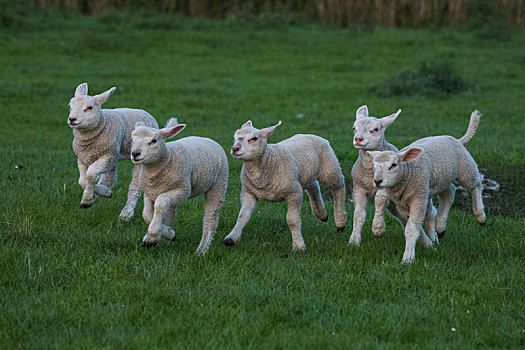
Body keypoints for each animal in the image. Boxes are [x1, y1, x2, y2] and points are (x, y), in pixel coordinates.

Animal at [67, 82, 158, 220]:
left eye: (89, 108)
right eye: (70, 107)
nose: (72, 119)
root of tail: (147, 114)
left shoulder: (107, 156)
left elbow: (90, 175)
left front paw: (88, 198)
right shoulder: (82, 158)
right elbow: (82, 181)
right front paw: (92, 197)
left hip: (135, 157)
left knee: (134, 187)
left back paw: (126, 214)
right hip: (114, 155)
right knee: (109, 179)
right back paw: (101, 194)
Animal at [130, 119, 226, 253]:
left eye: (153, 141)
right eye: (132, 139)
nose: (135, 153)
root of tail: (206, 138)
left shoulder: (183, 190)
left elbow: (160, 204)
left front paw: (153, 235)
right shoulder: (149, 191)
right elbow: (147, 215)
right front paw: (163, 234)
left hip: (219, 183)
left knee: (210, 218)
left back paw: (202, 250)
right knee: (170, 214)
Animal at [223, 119, 346, 249]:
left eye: (254, 138)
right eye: (235, 137)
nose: (235, 148)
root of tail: (311, 135)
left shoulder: (294, 193)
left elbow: (292, 221)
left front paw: (298, 245)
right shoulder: (248, 193)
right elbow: (242, 216)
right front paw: (231, 238)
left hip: (330, 168)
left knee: (339, 187)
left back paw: (340, 221)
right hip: (306, 174)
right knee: (313, 186)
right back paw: (321, 214)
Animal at [350, 105, 408, 245]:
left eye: (375, 129)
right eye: (354, 128)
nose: (358, 139)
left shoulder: (386, 186)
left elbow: (379, 200)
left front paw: (378, 228)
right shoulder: (358, 187)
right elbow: (359, 214)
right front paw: (354, 240)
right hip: (394, 205)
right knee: (402, 217)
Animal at [366, 110, 486, 262]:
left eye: (393, 165)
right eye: (374, 165)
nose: (377, 181)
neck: (408, 172)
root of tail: (454, 139)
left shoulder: (419, 198)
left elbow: (411, 229)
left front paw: (407, 259)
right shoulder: (403, 204)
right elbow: (411, 225)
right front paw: (426, 245)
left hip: (466, 168)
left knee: (476, 183)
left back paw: (481, 216)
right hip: (442, 179)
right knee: (449, 192)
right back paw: (440, 227)